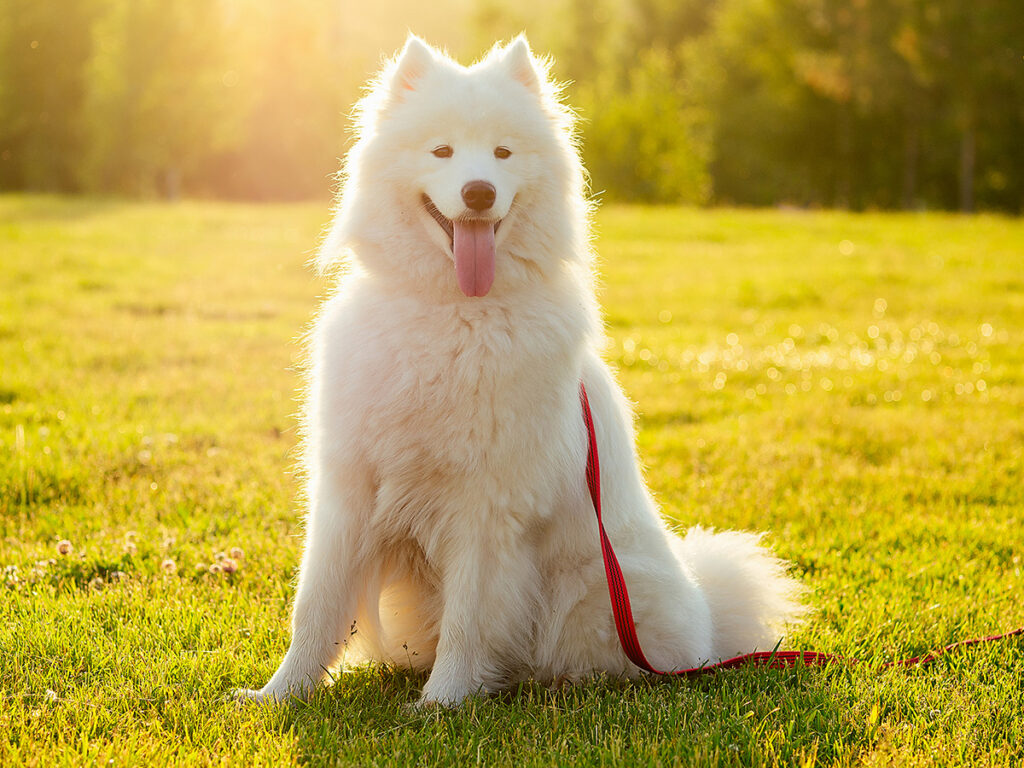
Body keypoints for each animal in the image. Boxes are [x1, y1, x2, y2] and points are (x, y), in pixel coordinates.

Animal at [235, 36, 802, 708]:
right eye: (442, 151)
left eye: (504, 153)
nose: (479, 192)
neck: (452, 314)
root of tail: (708, 624)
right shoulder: (348, 489)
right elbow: (316, 607)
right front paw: (279, 695)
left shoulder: (487, 507)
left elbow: (469, 619)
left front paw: (442, 703)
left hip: (591, 594)